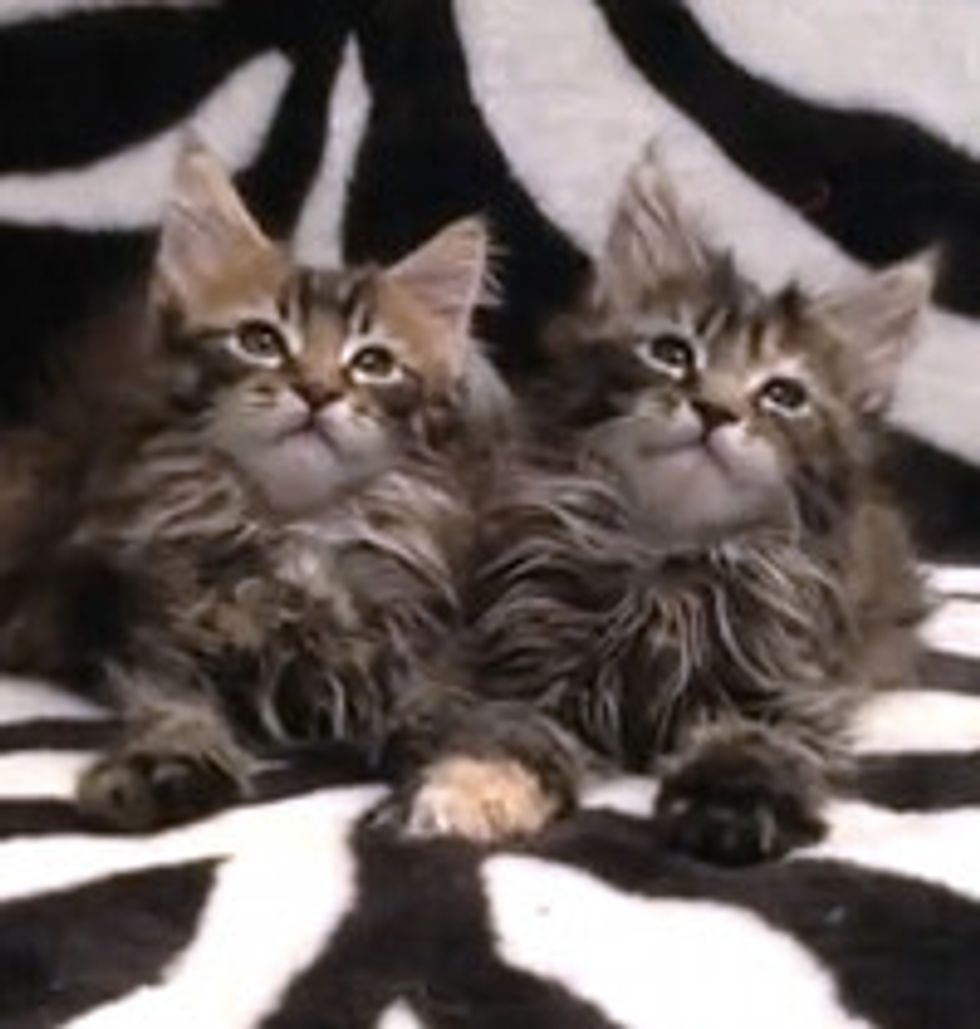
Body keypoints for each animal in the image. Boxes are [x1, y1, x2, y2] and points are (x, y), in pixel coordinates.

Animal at [0, 143, 520, 835]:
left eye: (372, 363)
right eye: (261, 341)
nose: (318, 390)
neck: (293, 530)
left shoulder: (431, 639)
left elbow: (453, 710)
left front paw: (467, 778)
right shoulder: (163, 634)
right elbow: (173, 709)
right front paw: (160, 766)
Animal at [463, 150, 930, 860]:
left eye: (783, 395)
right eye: (672, 353)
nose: (714, 409)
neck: (667, 554)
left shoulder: (787, 685)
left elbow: (757, 743)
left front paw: (729, 806)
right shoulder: (527, 653)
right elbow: (507, 730)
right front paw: (472, 790)